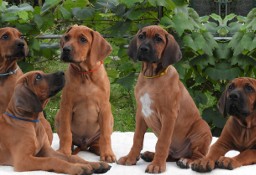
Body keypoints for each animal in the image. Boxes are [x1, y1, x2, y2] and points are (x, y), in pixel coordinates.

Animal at [55, 25, 116, 163]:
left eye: (83, 40)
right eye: (67, 37)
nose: (65, 49)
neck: (85, 74)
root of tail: (83, 144)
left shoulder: (105, 107)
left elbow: (105, 135)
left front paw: (107, 153)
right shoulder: (66, 105)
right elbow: (66, 133)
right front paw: (64, 152)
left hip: (110, 119)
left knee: (97, 142)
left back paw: (99, 149)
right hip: (58, 115)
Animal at [117, 25, 211, 173]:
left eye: (158, 39)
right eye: (141, 36)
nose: (143, 49)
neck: (152, 77)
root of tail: (180, 154)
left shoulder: (169, 115)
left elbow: (162, 142)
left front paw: (157, 165)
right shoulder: (141, 114)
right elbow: (137, 138)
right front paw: (130, 158)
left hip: (202, 127)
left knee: (198, 155)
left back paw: (186, 161)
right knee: (170, 155)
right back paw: (150, 155)